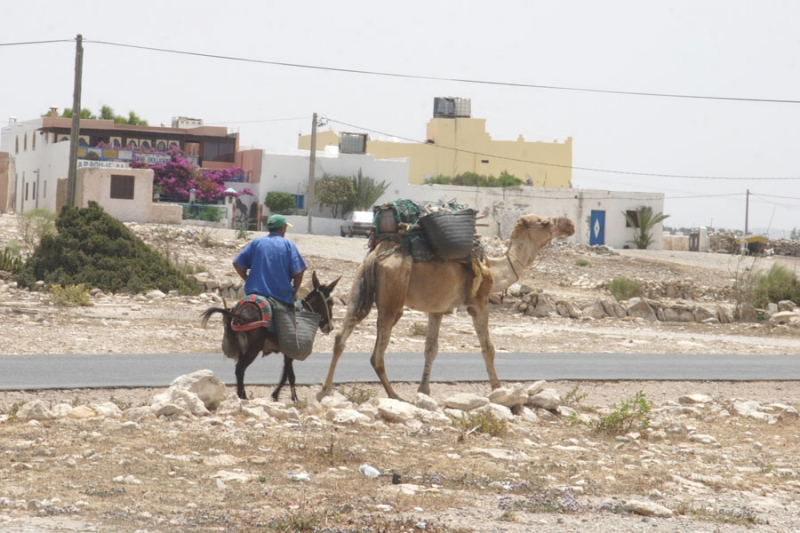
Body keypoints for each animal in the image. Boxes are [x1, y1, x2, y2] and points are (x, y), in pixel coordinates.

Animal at [318, 212, 576, 400]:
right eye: (544, 222)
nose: (570, 224)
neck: (494, 269)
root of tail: (375, 257)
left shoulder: (437, 310)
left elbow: (431, 349)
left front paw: (424, 391)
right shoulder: (478, 302)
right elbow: (488, 348)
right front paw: (497, 388)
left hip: (359, 287)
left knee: (341, 336)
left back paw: (325, 389)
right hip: (393, 298)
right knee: (377, 354)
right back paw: (394, 395)